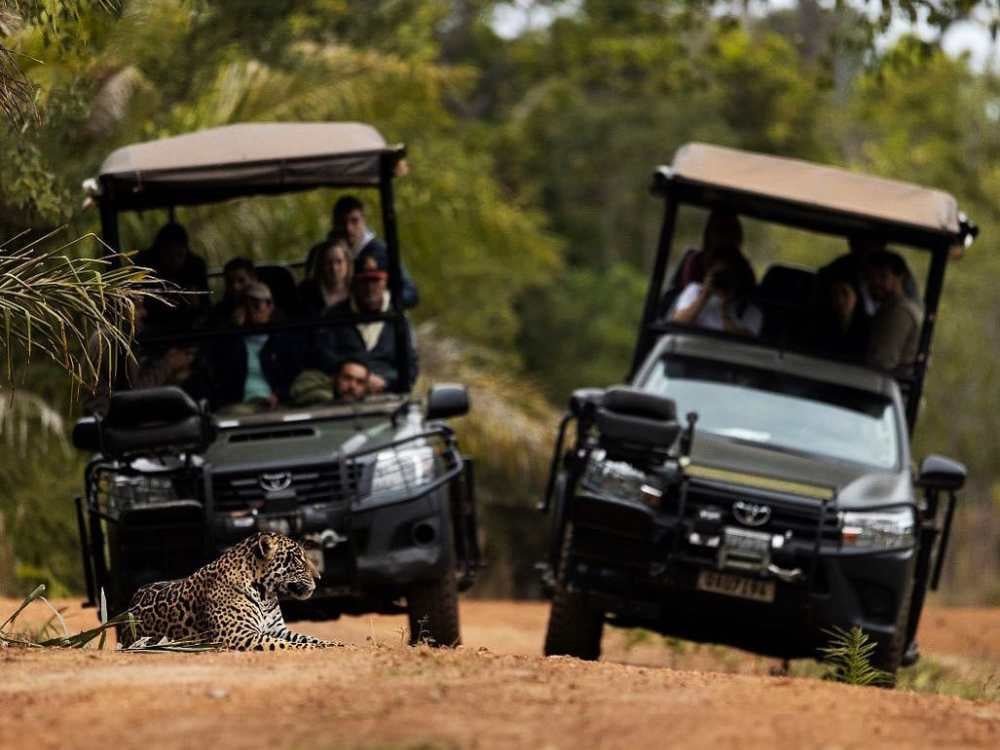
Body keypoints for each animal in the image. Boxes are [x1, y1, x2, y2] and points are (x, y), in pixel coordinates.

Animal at [117, 532, 343, 651]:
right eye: (296, 559)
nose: (319, 578)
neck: (266, 594)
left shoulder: (276, 628)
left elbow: (307, 638)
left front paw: (335, 644)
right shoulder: (239, 635)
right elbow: (286, 645)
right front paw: (318, 649)